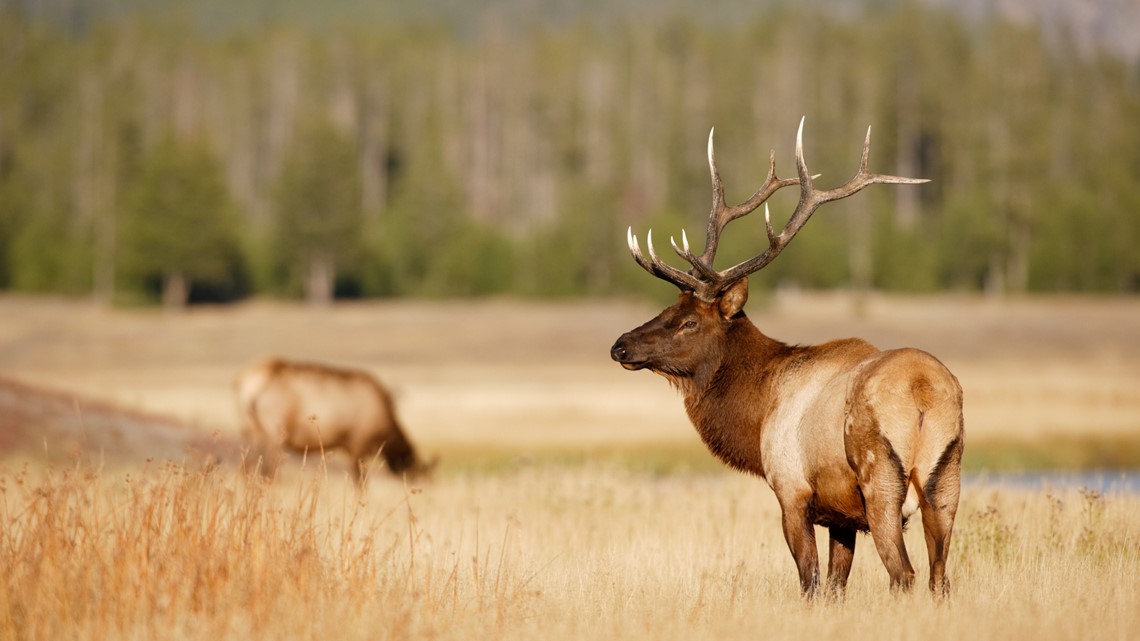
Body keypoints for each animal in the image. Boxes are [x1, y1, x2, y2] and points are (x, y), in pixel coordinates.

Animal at [233, 355, 428, 481]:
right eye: (414, 470)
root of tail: (248, 387)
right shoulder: (356, 444)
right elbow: (360, 482)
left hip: (250, 429)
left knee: (247, 466)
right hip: (275, 433)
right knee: (269, 468)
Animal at [615, 119, 962, 593]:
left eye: (688, 321)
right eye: (667, 309)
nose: (620, 345)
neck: (759, 409)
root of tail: (923, 391)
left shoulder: (792, 491)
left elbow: (810, 580)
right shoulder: (841, 516)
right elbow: (835, 585)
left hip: (881, 480)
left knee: (904, 574)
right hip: (946, 480)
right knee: (939, 578)